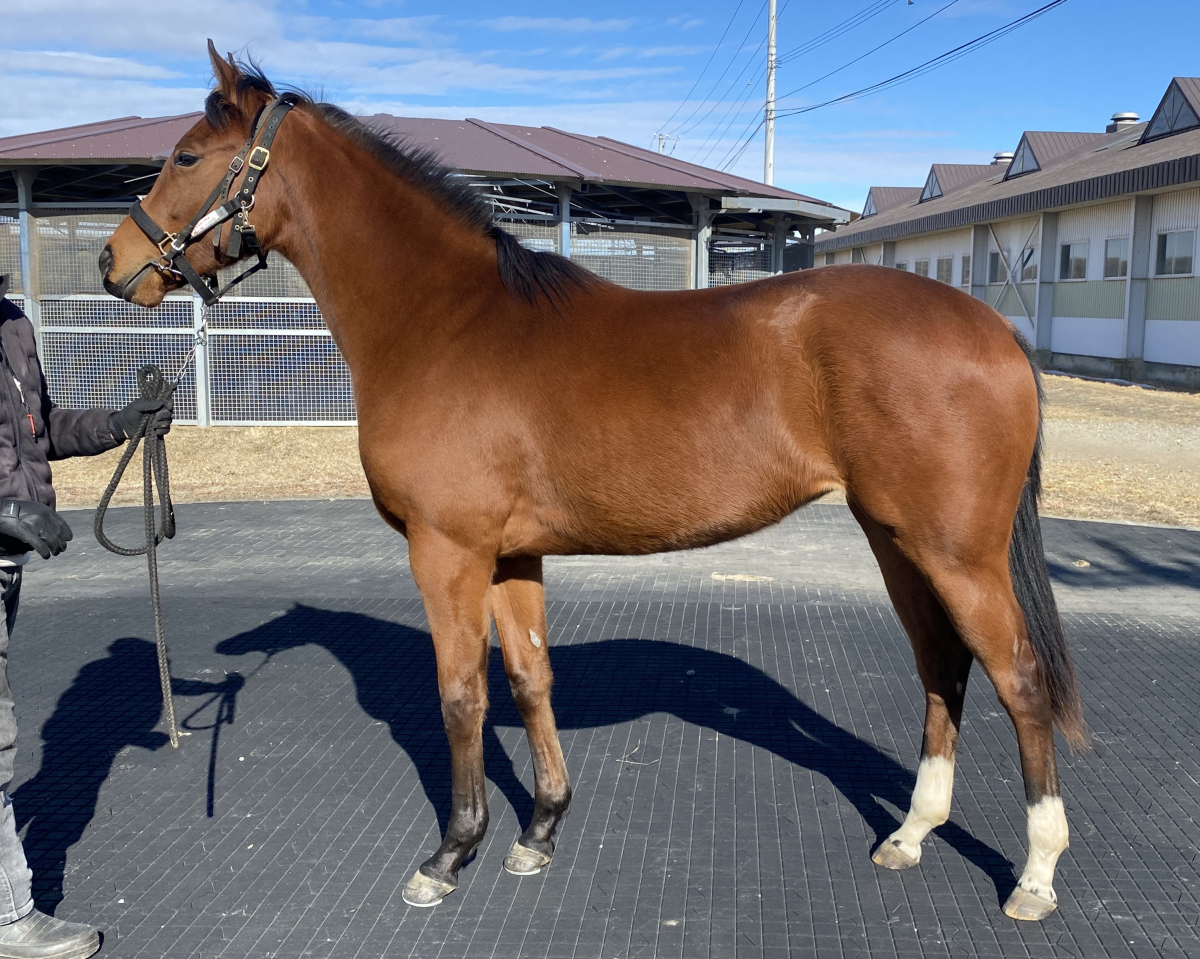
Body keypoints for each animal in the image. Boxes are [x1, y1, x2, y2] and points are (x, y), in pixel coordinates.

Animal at [99, 43, 1085, 922]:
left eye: (187, 156)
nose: (114, 264)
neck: (444, 322)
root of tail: (992, 328)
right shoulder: (509, 557)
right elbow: (531, 678)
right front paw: (538, 831)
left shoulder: (447, 551)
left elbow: (461, 694)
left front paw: (450, 853)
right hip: (897, 540)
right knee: (942, 667)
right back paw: (912, 833)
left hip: (956, 553)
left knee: (1018, 675)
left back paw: (1036, 875)